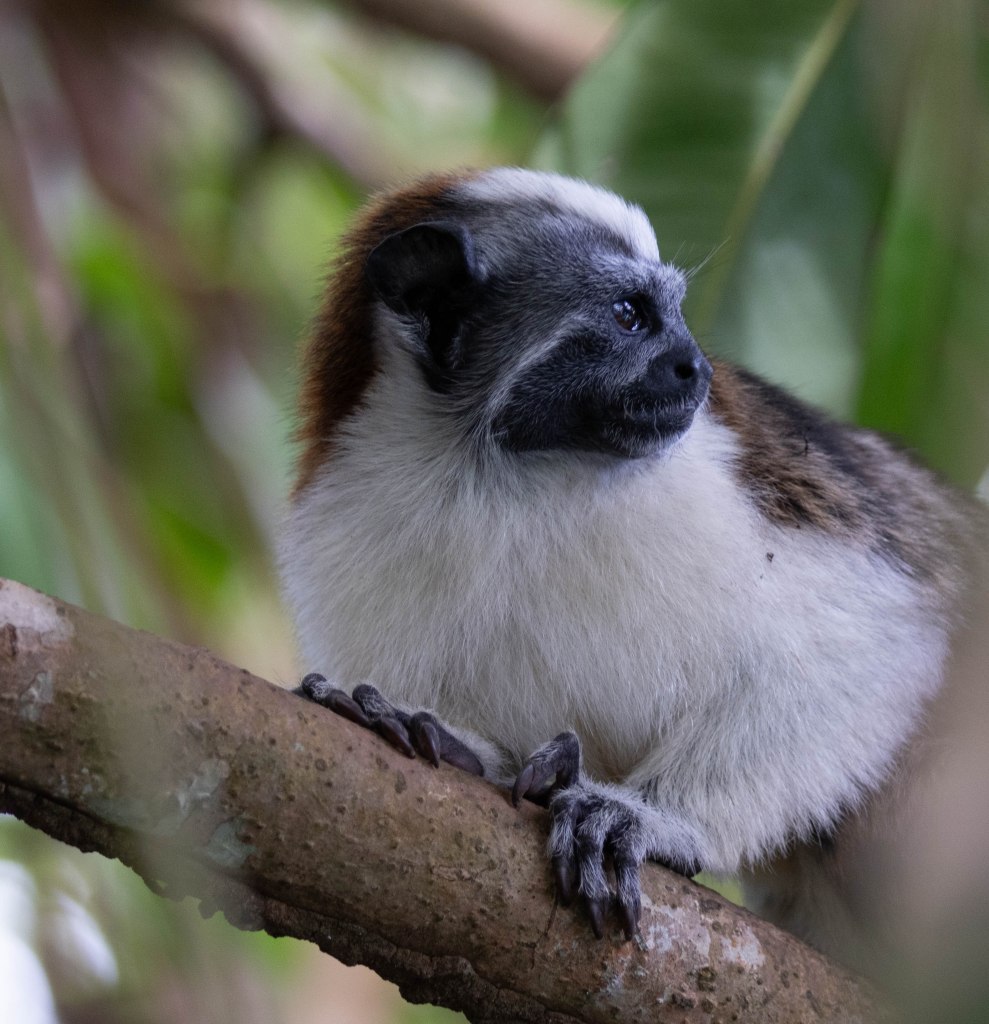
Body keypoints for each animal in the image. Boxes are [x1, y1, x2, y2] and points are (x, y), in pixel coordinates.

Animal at [277, 167, 986, 966]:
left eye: (670, 314)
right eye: (627, 316)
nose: (695, 367)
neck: (494, 475)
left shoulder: (721, 482)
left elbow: (873, 635)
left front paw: (650, 819)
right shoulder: (346, 522)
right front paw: (430, 733)